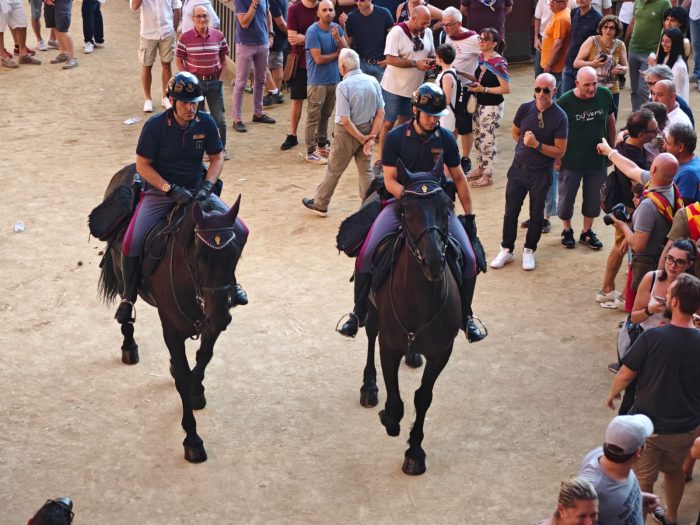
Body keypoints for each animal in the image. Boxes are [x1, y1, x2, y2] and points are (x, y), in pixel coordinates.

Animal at [96, 164, 245, 463]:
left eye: (236, 253)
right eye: (199, 256)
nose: (222, 316)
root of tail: (127, 170)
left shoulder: (210, 323)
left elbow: (202, 359)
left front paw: (197, 391)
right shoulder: (172, 328)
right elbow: (184, 377)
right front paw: (192, 440)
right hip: (122, 271)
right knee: (127, 307)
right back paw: (129, 346)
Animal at [359, 158, 462, 475]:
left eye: (446, 207)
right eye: (406, 209)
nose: (433, 261)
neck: (420, 300)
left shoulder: (442, 352)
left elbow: (423, 397)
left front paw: (415, 452)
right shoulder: (389, 345)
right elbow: (394, 398)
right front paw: (390, 419)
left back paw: (413, 355)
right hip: (372, 313)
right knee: (369, 333)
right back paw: (368, 387)